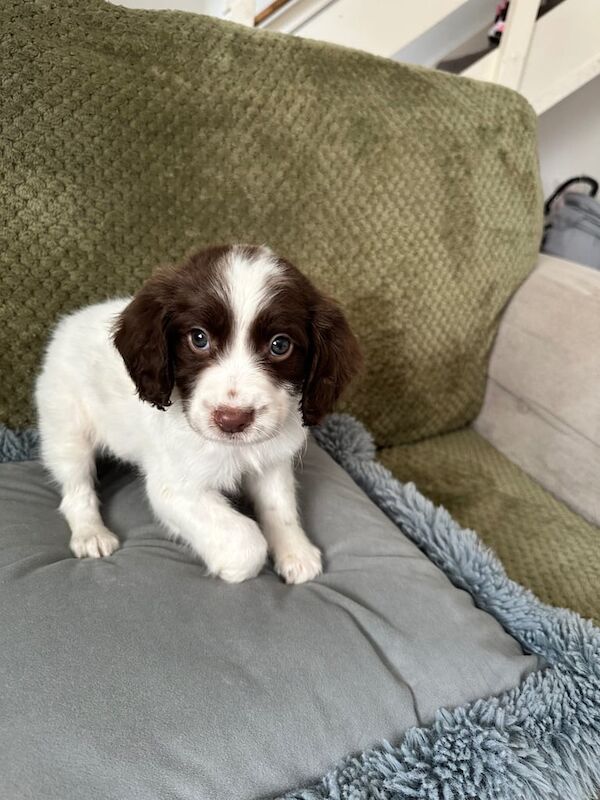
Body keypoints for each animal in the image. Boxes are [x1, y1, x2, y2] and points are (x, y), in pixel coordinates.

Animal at [35, 242, 360, 580]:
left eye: (280, 345)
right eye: (198, 338)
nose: (232, 420)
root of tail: (69, 322)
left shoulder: (272, 460)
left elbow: (279, 505)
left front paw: (296, 552)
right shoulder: (174, 488)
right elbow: (247, 541)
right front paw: (234, 567)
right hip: (66, 428)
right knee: (76, 487)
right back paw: (91, 534)